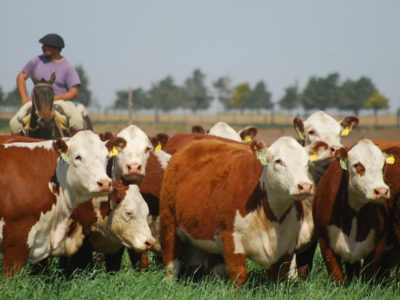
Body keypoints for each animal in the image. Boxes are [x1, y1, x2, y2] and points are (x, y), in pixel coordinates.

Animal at [159, 136, 312, 284]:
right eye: (278, 161)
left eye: (308, 163)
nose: (305, 186)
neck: (273, 217)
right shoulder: (232, 238)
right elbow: (239, 274)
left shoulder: (288, 245)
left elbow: (279, 276)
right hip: (169, 223)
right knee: (172, 261)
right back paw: (170, 283)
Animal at [314, 139, 390, 284]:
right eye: (357, 165)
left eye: (383, 166)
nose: (381, 191)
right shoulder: (324, 240)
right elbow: (336, 275)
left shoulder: (380, 240)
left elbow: (368, 275)